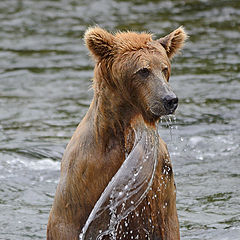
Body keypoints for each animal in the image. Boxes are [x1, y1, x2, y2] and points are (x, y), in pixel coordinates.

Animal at [46, 26, 186, 240]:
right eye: (143, 70)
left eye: (164, 68)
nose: (169, 99)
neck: (124, 130)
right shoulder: (85, 173)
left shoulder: (161, 187)